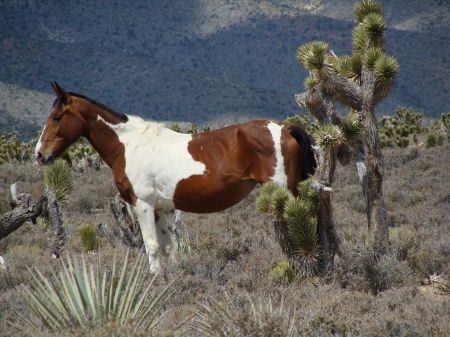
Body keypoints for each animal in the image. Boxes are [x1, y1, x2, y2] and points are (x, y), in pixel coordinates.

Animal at [36, 82, 316, 272]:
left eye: (57, 117)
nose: (40, 155)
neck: (127, 145)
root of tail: (286, 128)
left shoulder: (142, 205)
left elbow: (151, 246)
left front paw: (154, 281)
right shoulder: (158, 208)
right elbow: (167, 246)